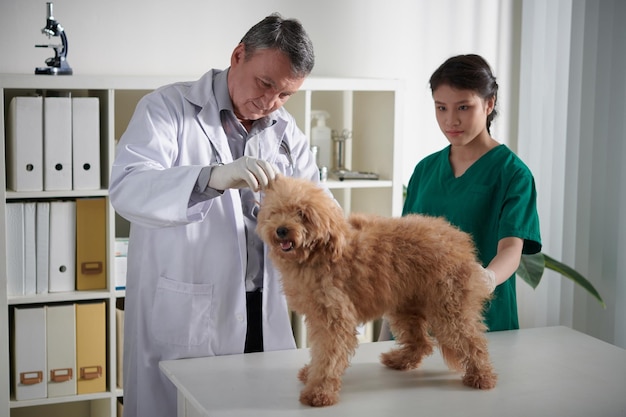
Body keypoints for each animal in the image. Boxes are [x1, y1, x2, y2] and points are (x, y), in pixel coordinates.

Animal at [256, 175, 494, 406]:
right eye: (275, 213)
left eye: (302, 214)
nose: (281, 230)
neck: (318, 253)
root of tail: (458, 239)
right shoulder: (319, 317)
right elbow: (320, 354)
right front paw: (312, 375)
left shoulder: (334, 319)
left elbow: (328, 356)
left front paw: (319, 391)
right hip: (406, 306)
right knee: (422, 342)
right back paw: (401, 360)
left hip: (449, 306)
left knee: (472, 341)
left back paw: (482, 376)